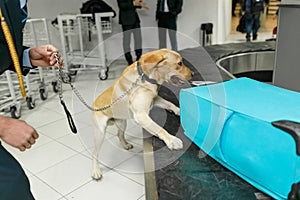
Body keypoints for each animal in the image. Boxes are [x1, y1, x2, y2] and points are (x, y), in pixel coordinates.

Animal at [91, 48, 192, 180]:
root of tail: (94, 104)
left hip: (122, 123)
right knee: (95, 153)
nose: (193, 74)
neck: (145, 77)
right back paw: (96, 171)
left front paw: (179, 110)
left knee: (119, 134)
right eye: (179, 63)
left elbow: (169, 104)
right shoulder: (141, 116)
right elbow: (159, 128)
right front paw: (172, 140)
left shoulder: (155, 99)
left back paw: (126, 145)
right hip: (100, 133)